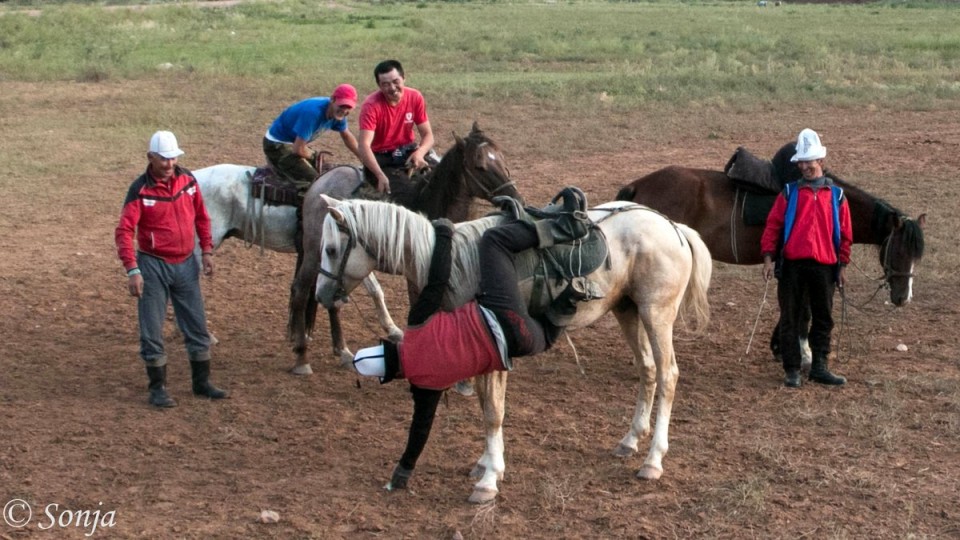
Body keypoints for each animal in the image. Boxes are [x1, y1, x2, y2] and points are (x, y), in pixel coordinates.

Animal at [286, 123, 524, 376]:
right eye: (480, 166)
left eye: (501, 158)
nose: (515, 197)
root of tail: (320, 181)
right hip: (314, 253)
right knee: (301, 292)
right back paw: (301, 357)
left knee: (333, 299)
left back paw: (343, 351)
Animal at [316, 196, 712, 504]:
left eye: (332, 249)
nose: (321, 295)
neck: (453, 263)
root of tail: (674, 228)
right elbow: (484, 406)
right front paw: (484, 463)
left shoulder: (494, 352)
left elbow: (493, 412)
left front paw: (489, 479)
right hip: (628, 311)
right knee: (647, 370)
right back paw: (630, 440)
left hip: (656, 314)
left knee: (667, 375)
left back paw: (653, 460)